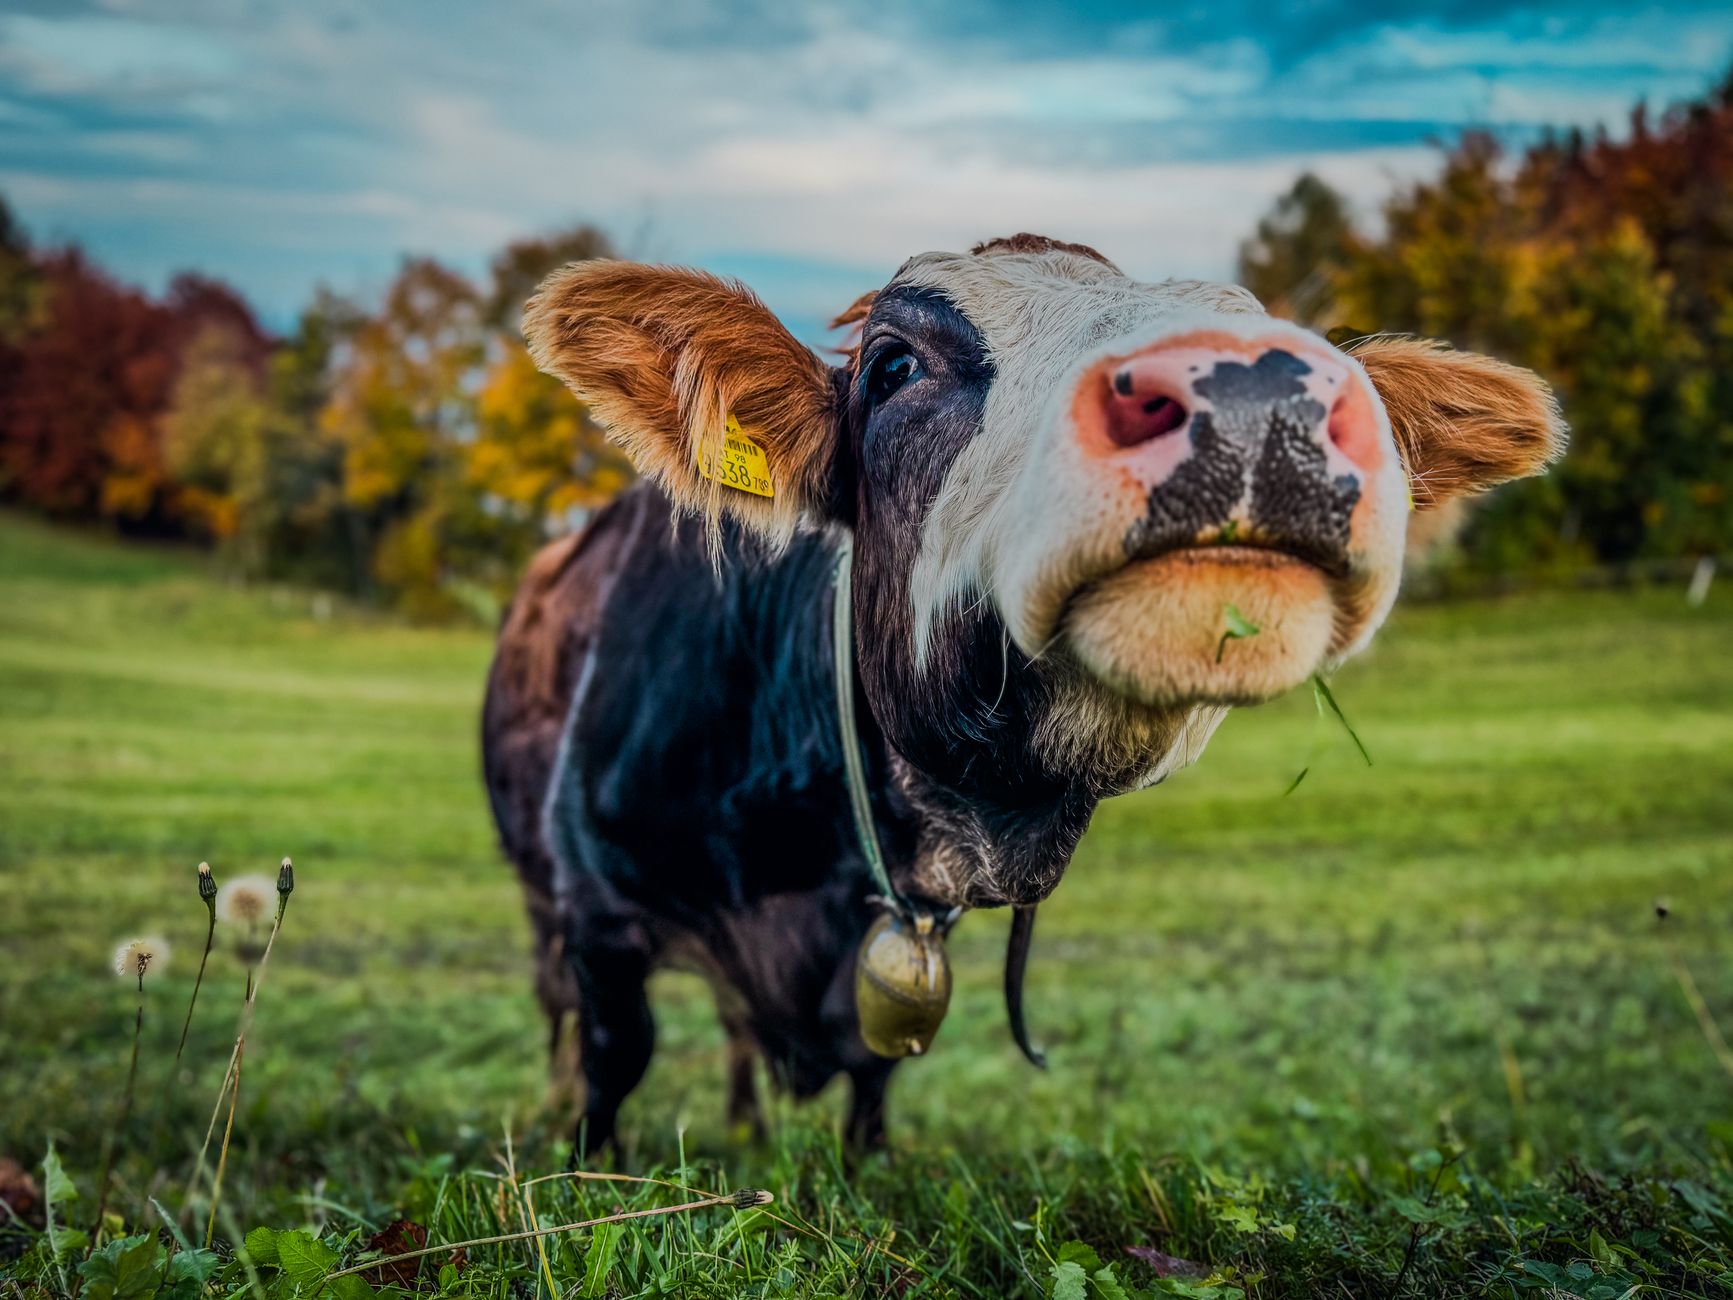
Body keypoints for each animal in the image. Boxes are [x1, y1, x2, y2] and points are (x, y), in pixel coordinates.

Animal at [481, 233, 1564, 1154]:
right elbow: (614, 1057)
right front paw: (586, 1165)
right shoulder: (597, 910)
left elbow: (871, 1080)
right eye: (892, 367)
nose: (1254, 391)